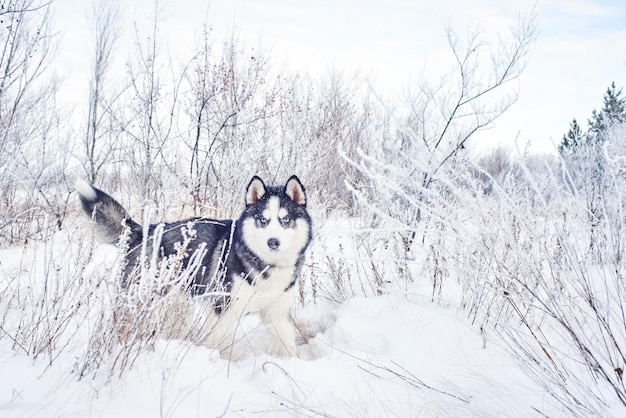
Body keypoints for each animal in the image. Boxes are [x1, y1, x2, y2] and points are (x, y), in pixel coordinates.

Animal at [77, 175, 312, 358]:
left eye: (286, 219)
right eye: (263, 220)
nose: (273, 242)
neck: (265, 264)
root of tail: (144, 231)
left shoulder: (276, 315)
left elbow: (288, 349)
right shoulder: (221, 311)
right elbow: (218, 346)